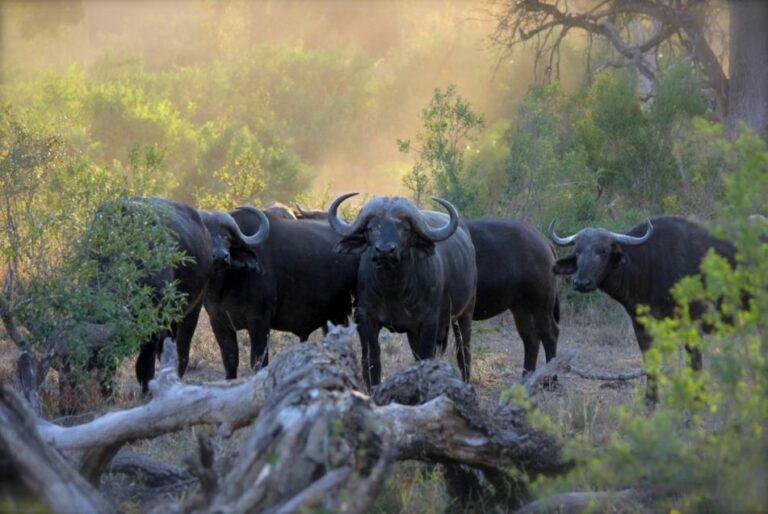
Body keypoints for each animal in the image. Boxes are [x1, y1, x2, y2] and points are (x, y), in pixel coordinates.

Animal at [203, 207, 359, 378]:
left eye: (227, 237)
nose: (220, 256)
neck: (225, 287)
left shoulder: (259, 322)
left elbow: (258, 362)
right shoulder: (218, 323)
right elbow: (230, 361)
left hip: (342, 314)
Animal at [328, 194, 477, 389]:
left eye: (404, 229)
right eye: (371, 228)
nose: (385, 251)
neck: (393, 290)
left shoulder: (429, 322)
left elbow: (426, 357)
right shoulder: (366, 319)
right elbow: (372, 361)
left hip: (465, 312)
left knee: (464, 351)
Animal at [467, 218, 560, 376]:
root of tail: (544, 240)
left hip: (541, 305)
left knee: (550, 335)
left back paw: (550, 379)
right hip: (521, 308)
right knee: (531, 339)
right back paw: (526, 377)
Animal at [549, 215, 736, 400]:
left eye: (602, 251)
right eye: (578, 251)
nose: (581, 283)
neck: (649, 264)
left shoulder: (693, 322)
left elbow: (695, 360)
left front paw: (698, 397)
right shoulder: (640, 324)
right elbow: (649, 358)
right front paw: (651, 398)